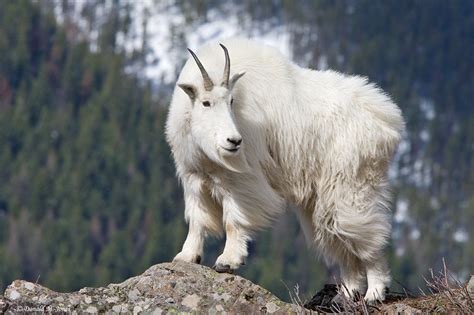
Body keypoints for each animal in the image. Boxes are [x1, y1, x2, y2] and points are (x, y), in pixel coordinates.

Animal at [166, 38, 404, 302]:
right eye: (206, 102)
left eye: (231, 101)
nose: (234, 141)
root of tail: (387, 120)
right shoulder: (194, 178)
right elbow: (197, 219)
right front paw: (186, 256)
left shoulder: (242, 180)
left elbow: (233, 220)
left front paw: (227, 261)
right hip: (323, 197)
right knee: (339, 237)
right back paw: (345, 294)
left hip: (351, 184)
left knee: (366, 233)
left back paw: (375, 291)